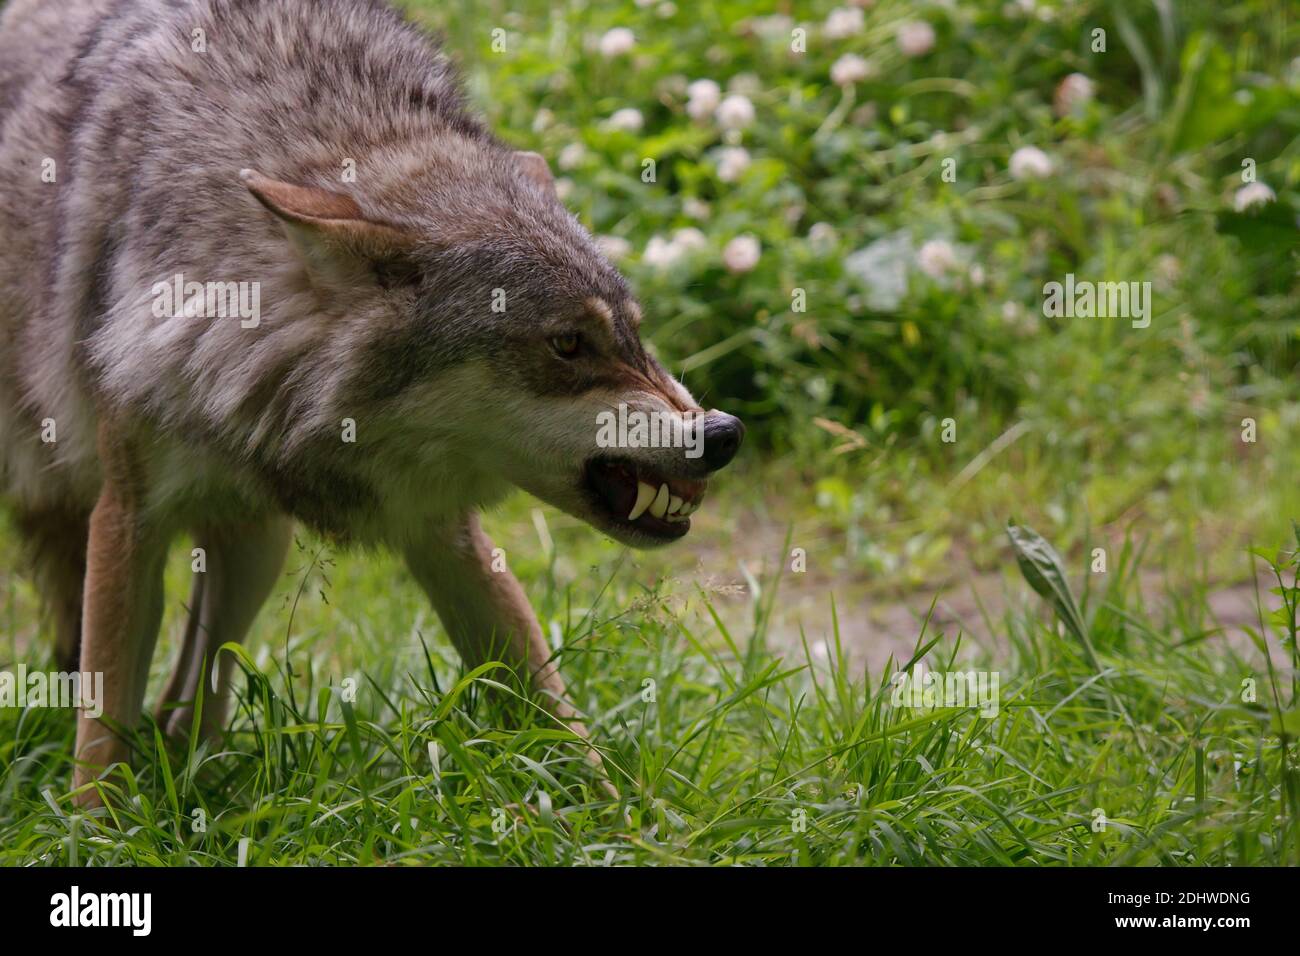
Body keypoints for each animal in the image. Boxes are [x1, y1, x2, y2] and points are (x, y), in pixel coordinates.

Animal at [0, 0, 743, 806]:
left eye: (635, 333)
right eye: (568, 344)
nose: (723, 433)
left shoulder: (442, 525)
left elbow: (549, 704)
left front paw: (628, 817)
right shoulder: (126, 515)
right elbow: (101, 726)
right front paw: (96, 822)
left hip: (257, 542)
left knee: (194, 681)